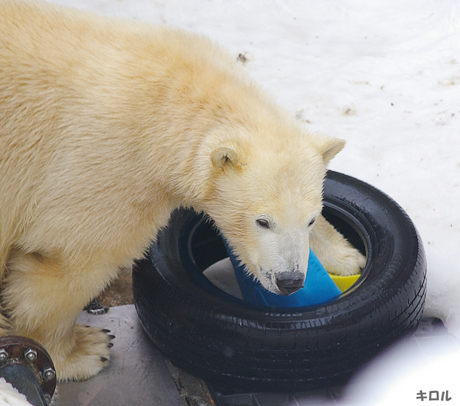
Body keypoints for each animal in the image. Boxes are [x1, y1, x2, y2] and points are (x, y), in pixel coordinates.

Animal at [0, 0, 366, 380]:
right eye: (262, 221)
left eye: (310, 220)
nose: (290, 281)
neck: (163, 103)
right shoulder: (99, 166)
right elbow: (70, 262)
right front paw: (81, 351)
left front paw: (346, 256)